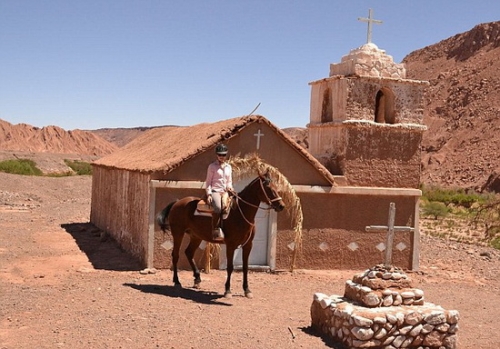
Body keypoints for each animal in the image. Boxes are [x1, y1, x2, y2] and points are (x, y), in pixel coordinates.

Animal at [156, 170, 286, 298]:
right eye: (268, 188)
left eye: (276, 187)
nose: (281, 206)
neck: (239, 213)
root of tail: (177, 202)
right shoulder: (231, 245)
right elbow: (230, 267)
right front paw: (227, 290)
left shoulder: (248, 245)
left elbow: (245, 267)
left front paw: (247, 290)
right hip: (178, 233)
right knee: (175, 255)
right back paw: (177, 282)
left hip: (196, 236)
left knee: (188, 252)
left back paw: (197, 279)